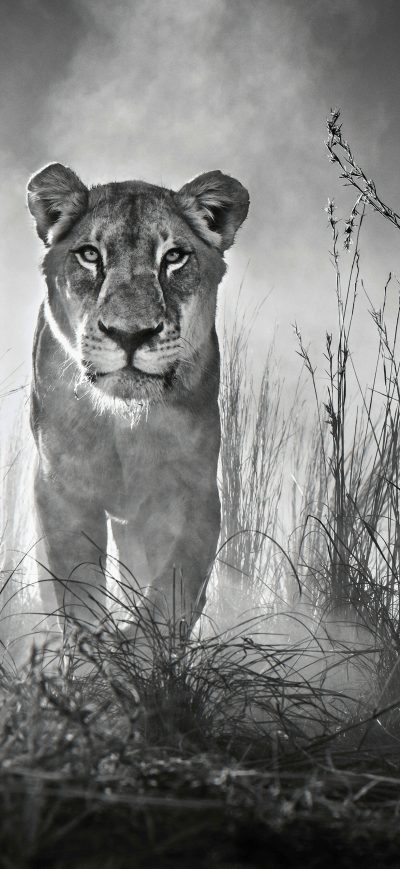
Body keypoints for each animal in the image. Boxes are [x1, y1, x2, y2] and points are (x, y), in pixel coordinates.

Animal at [27, 163, 249, 636]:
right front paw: (94, 649)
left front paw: (141, 645)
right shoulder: (61, 489)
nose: (130, 334)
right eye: (90, 255)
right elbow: (77, 588)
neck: (124, 423)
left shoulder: (193, 491)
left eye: (174, 257)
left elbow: (172, 589)